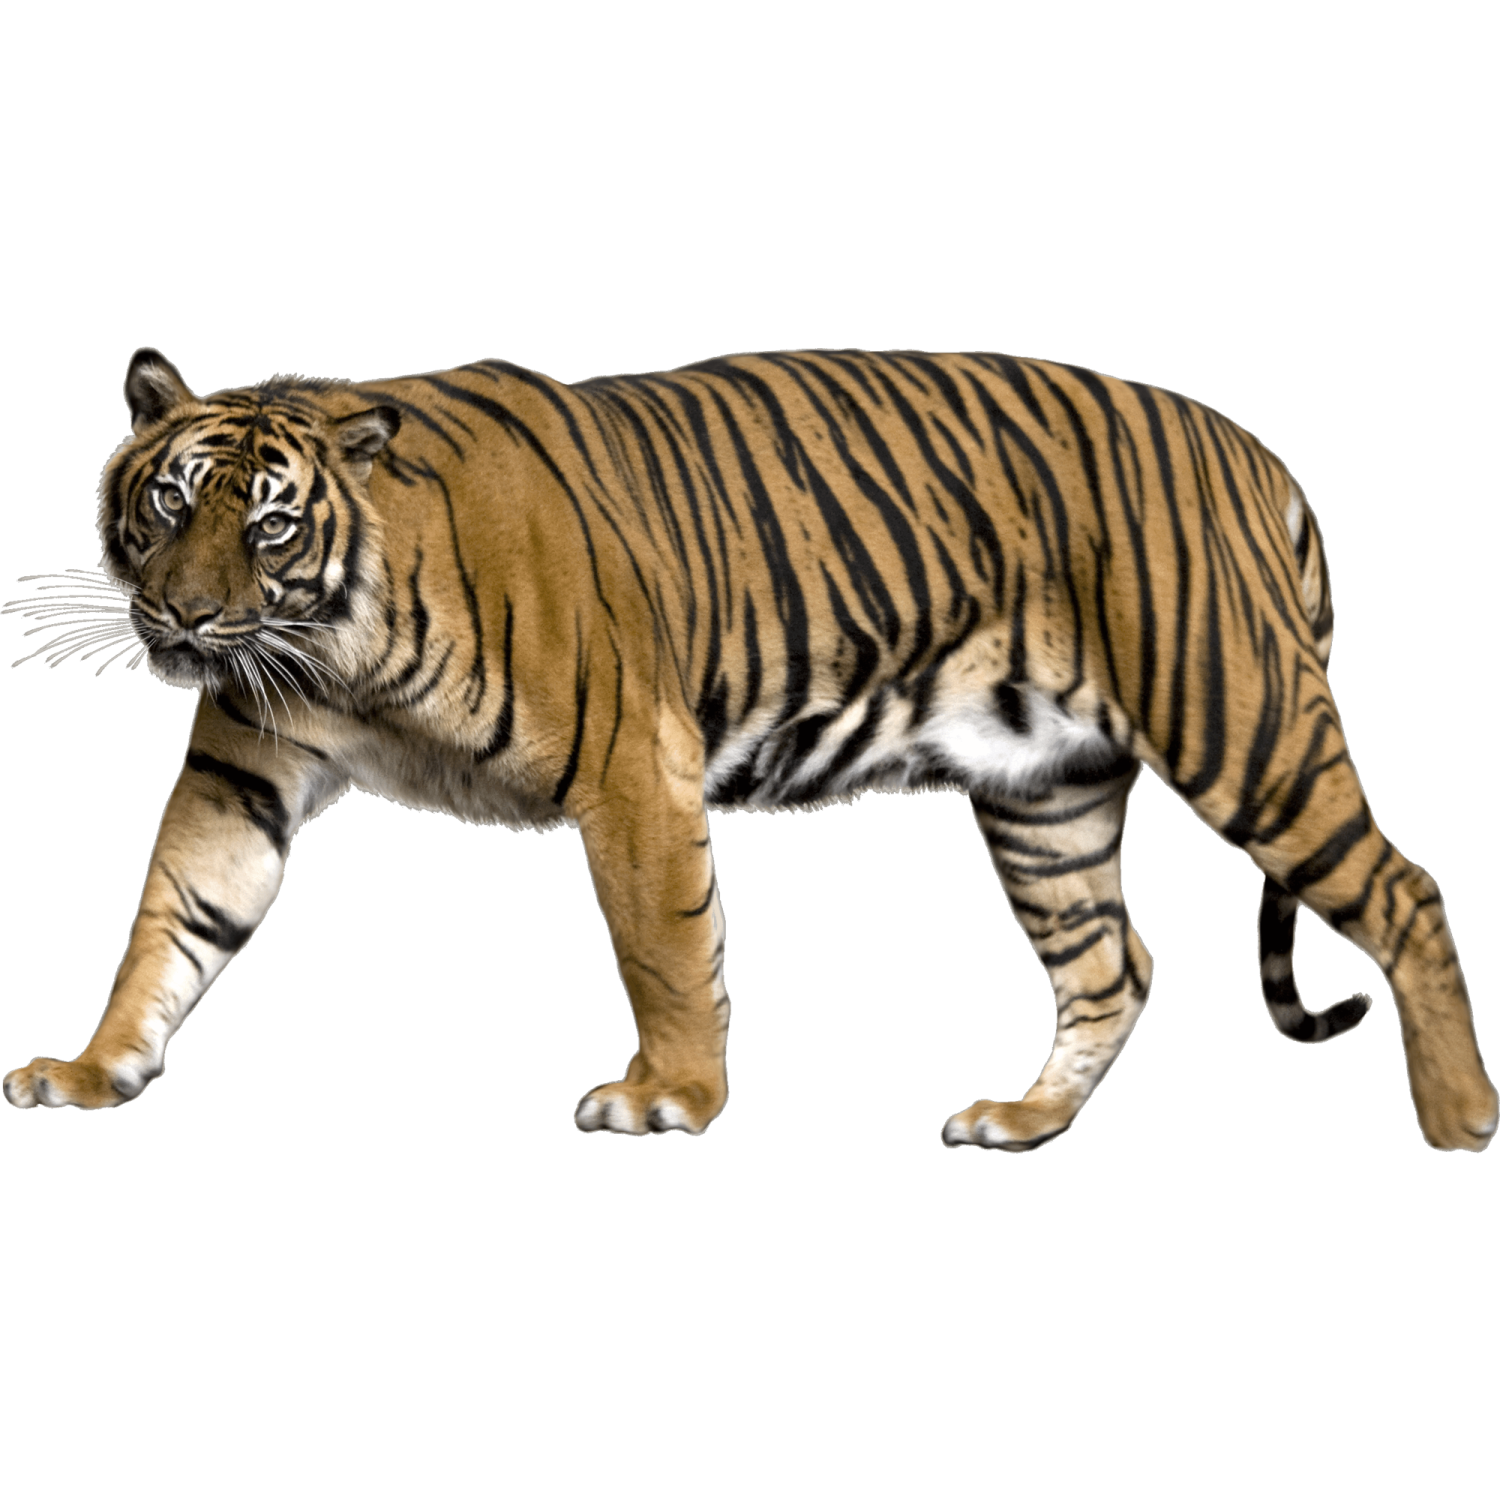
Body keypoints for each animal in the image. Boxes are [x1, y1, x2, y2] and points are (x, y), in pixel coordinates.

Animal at [3, 346, 1494, 1153]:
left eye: (267, 523)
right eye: (166, 503)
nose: (185, 618)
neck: (333, 648)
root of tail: (1254, 450)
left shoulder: (631, 764)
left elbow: (664, 944)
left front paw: (668, 1095)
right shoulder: (241, 771)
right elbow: (170, 924)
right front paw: (91, 1070)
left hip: (1240, 723)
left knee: (1406, 890)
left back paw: (1462, 1118)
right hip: (1045, 796)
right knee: (1113, 965)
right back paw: (1019, 1123)